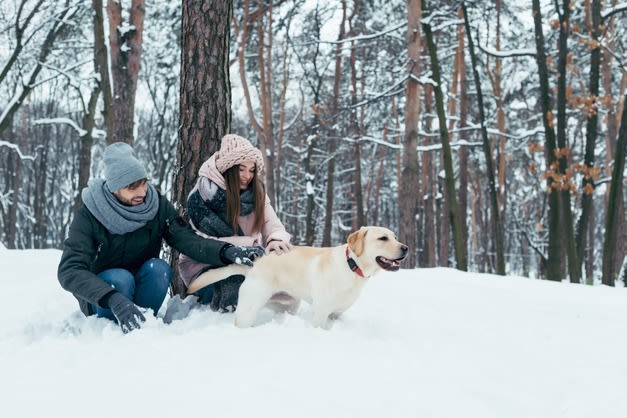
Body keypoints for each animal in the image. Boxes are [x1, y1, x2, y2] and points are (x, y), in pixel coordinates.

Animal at [186, 227, 410, 328]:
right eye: (383, 238)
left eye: (395, 237)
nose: (406, 248)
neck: (351, 266)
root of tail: (256, 264)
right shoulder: (320, 313)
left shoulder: (337, 313)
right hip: (249, 308)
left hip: (288, 305)